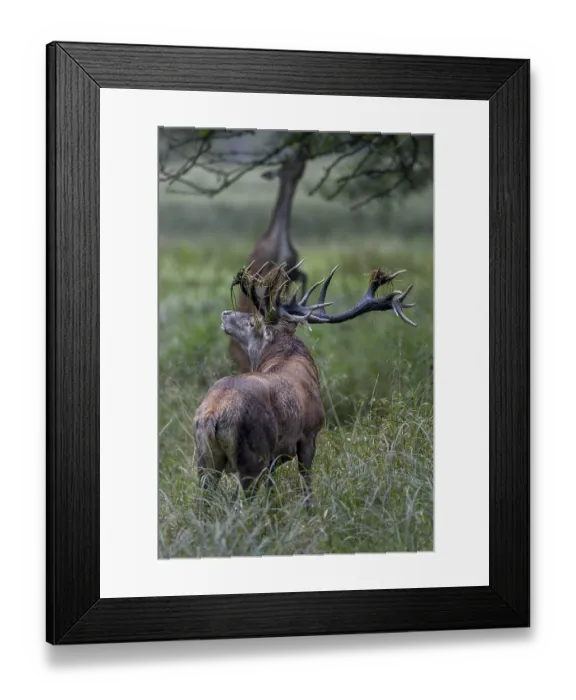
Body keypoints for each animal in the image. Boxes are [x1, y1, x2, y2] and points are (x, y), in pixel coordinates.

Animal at [194, 263, 417, 504]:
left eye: (252, 321)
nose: (225, 314)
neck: (285, 355)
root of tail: (213, 416)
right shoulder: (309, 434)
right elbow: (307, 486)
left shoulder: (276, 455)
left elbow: (273, 490)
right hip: (251, 457)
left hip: (205, 461)